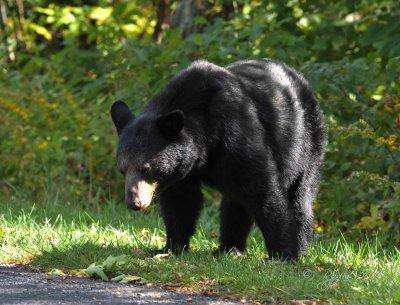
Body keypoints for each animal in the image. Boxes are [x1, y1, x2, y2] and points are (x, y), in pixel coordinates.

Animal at [111, 58, 326, 258]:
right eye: (122, 170)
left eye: (146, 168)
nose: (134, 203)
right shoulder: (181, 169)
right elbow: (180, 201)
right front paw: (171, 247)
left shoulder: (237, 134)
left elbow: (262, 191)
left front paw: (283, 254)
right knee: (235, 203)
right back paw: (228, 248)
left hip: (307, 145)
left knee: (300, 197)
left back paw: (301, 247)